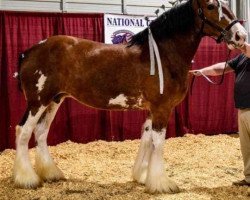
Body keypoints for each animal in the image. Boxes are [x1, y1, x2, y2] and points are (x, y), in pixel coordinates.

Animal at [14, 0, 246, 194]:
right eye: (211, 6)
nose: (241, 36)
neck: (164, 55)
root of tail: (30, 51)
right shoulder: (162, 108)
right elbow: (158, 142)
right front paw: (161, 184)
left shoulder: (153, 109)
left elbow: (147, 138)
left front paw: (143, 176)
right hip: (37, 102)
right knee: (23, 131)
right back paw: (27, 179)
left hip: (54, 100)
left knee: (41, 132)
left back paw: (51, 173)